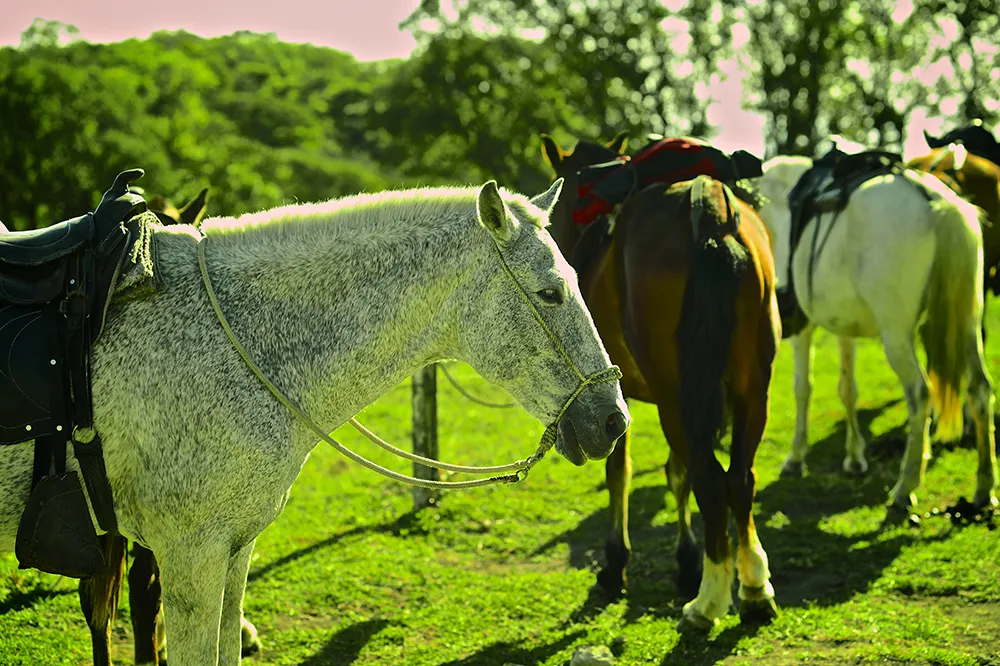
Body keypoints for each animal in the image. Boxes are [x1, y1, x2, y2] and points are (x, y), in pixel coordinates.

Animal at [540, 135, 780, 628]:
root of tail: (710, 209)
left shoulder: (610, 398)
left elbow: (621, 473)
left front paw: (616, 564)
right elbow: (675, 473)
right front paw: (686, 562)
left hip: (676, 395)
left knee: (711, 479)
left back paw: (708, 601)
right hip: (749, 389)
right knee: (739, 478)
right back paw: (752, 586)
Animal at [752, 157, 996, 512]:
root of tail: (940, 204)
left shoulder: (804, 328)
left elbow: (802, 388)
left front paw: (796, 457)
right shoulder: (845, 328)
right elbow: (847, 389)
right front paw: (855, 458)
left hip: (896, 334)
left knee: (920, 393)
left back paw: (905, 486)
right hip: (967, 322)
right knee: (979, 389)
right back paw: (984, 486)